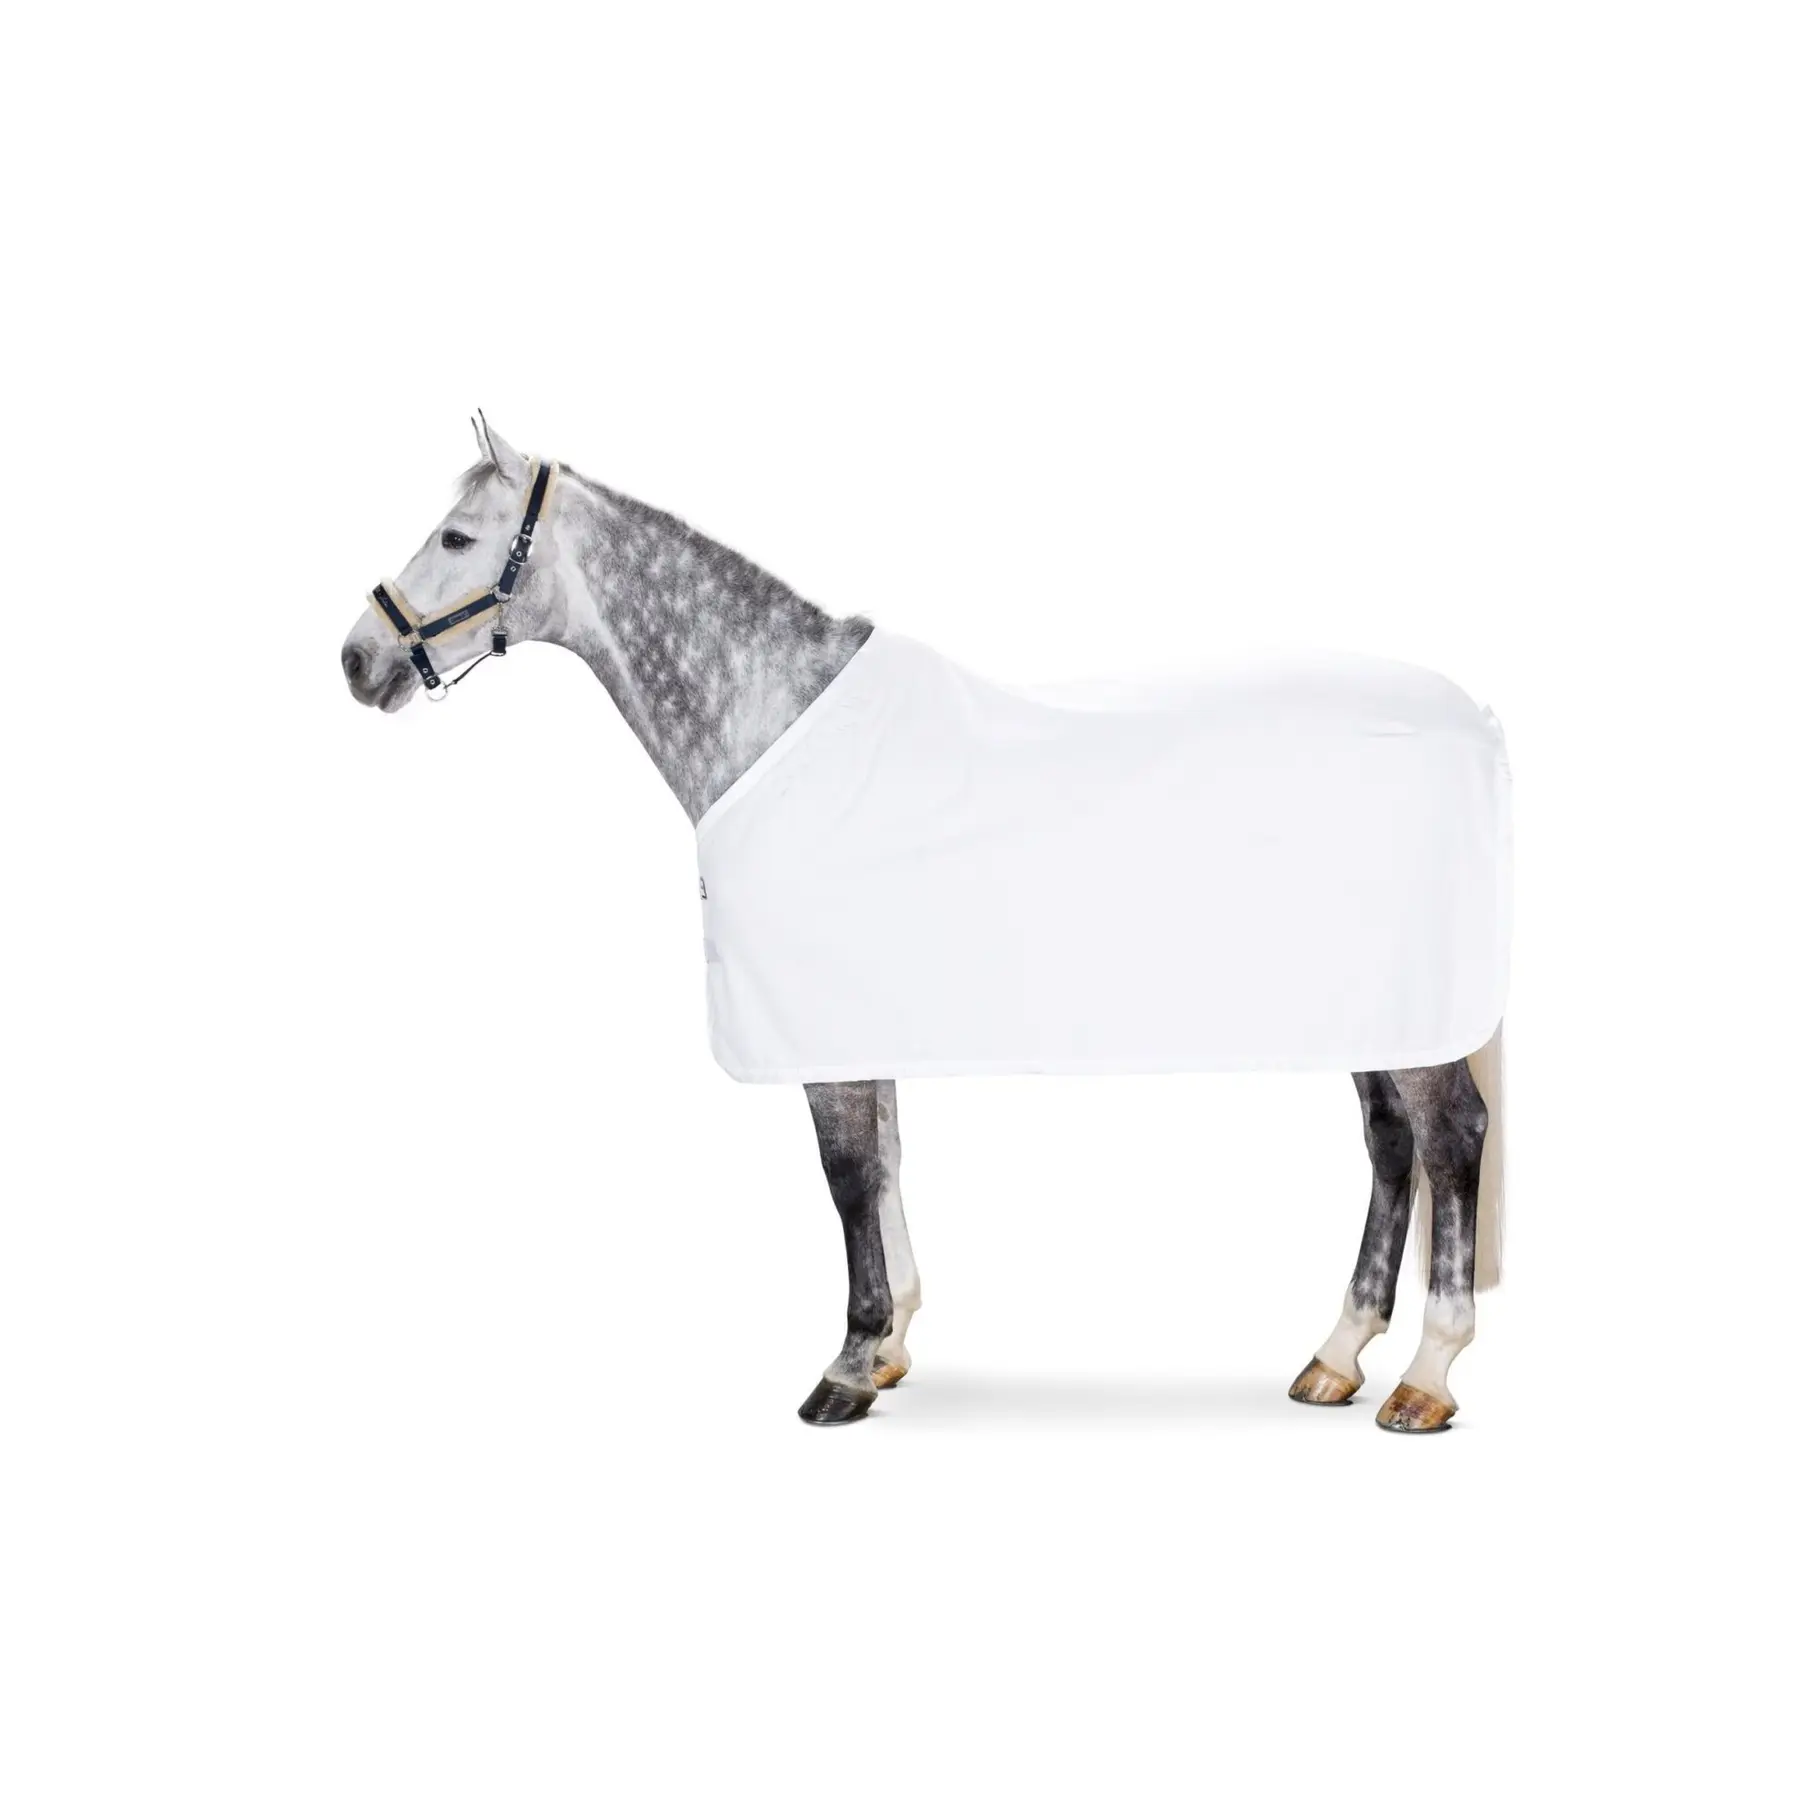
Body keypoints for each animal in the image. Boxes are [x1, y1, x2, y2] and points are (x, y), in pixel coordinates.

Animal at [341, 418, 1507, 1433]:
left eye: (456, 537)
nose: (357, 659)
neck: (773, 717)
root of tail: (1473, 719)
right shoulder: (859, 1017)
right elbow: (887, 1162)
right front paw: (893, 1341)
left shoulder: (819, 1028)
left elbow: (848, 1173)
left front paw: (848, 1367)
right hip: (1374, 1007)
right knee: (1390, 1144)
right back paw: (1337, 1357)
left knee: (1450, 1137)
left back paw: (1426, 1379)